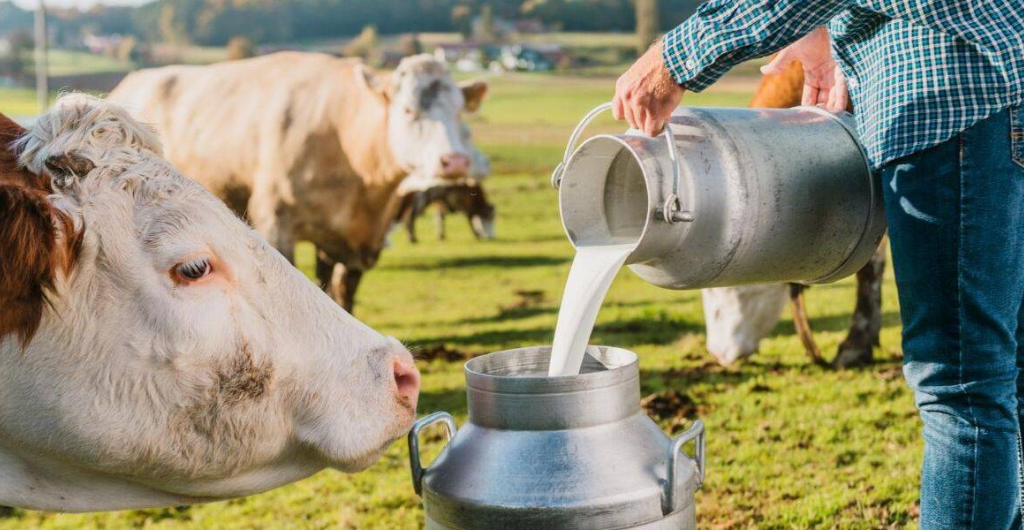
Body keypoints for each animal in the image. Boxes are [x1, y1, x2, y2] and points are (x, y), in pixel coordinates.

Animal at [108, 51, 487, 311]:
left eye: (459, 111)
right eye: (409, 110)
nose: (455, 161)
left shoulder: (351, 242)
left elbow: (340, 294)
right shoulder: (275, 224)